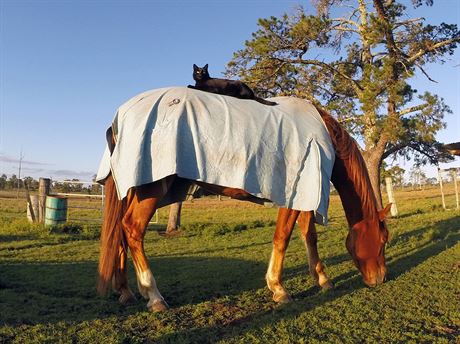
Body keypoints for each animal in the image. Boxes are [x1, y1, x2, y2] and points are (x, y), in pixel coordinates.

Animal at [99, 105, 390, 312]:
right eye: (383, 240)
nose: (380, 278)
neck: (323, 135)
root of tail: (120, 117)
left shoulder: (306, 194)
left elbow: (309, 236)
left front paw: (322, 279)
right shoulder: (296, 192)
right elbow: (282, 237)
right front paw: (278, 289)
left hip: (133, 191)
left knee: (120, 233)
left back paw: (125, 291)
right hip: (150, 191)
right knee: (132, 229)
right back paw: (154, 296)